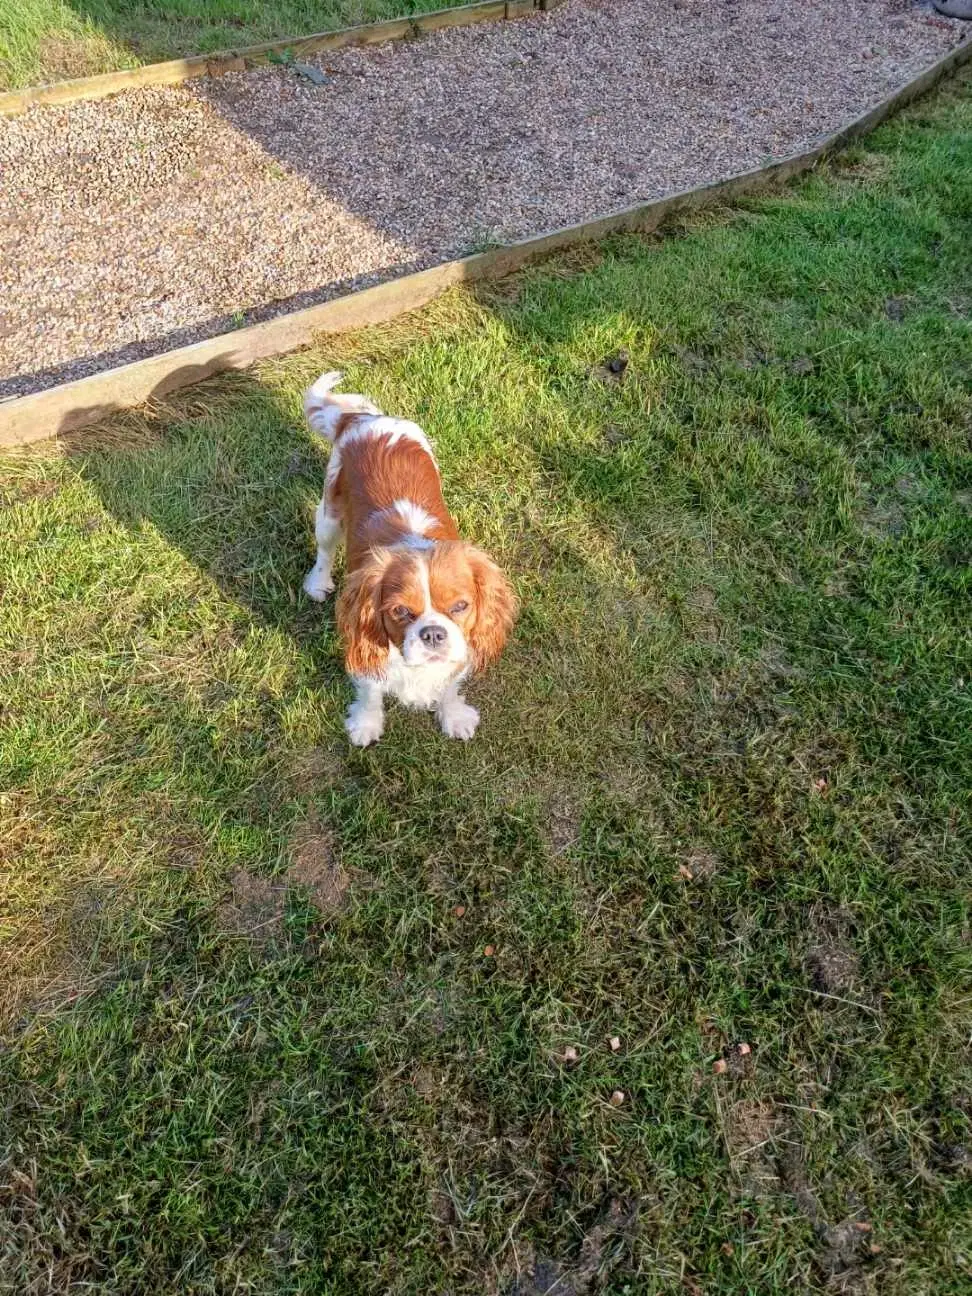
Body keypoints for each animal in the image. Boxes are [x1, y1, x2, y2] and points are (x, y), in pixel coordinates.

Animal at [304, 370, 518, 746]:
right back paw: (317, 583)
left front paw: (454, 716)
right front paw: (366, 724)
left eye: (461, 606)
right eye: (400, 612)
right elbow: (370, 689)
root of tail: (363, 419)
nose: (433, 633)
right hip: (329, 513)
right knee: (325, 550)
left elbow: (450, 685)